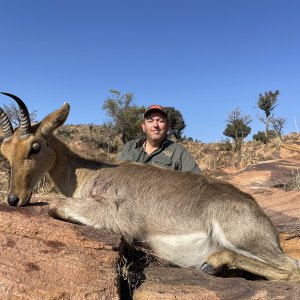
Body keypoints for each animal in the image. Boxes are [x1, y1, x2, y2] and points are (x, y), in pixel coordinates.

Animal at [0, 92, 300, 282]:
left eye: (35, 146)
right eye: (5, 150)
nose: (14, 199)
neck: (88, 172)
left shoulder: (118, 219)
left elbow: (53, 205)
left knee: (291, 268)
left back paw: (213, 264)